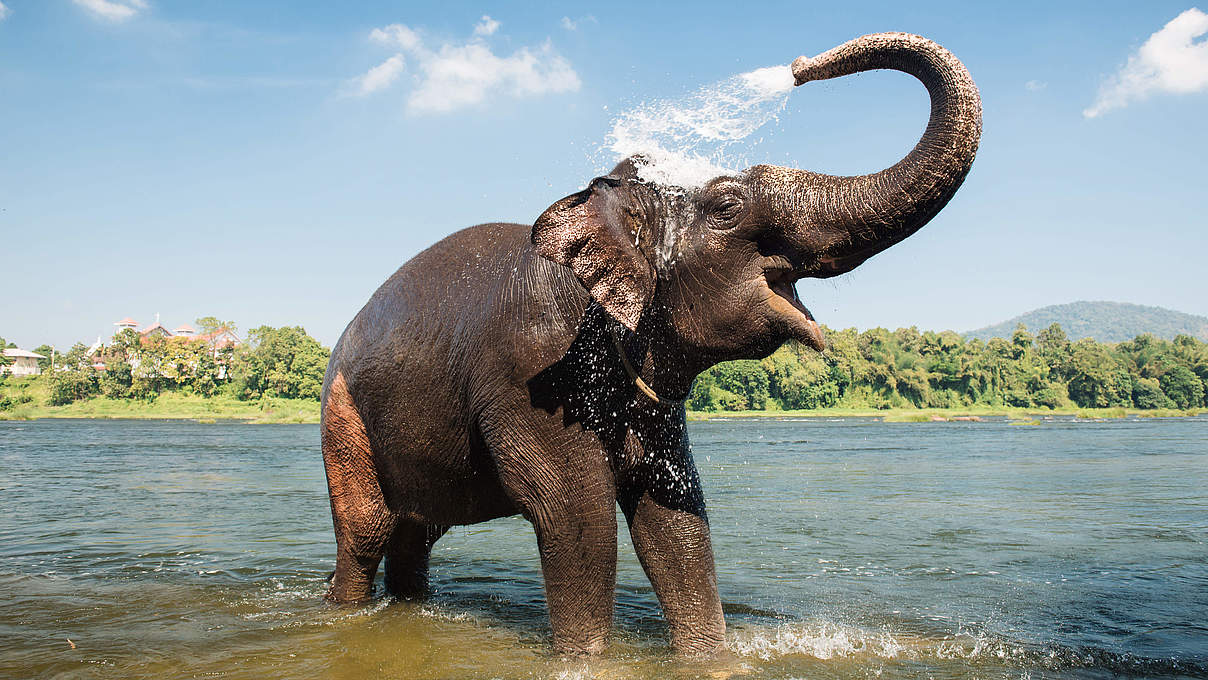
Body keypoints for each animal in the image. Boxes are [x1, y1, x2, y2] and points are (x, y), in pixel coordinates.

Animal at [318, 33, 980, 661]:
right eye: (728, 207)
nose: (799, 66)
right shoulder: (531, 369)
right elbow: (576, 516)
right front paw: (585, 658)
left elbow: (674, 517)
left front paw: (709, 657)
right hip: (342, 415)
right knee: (367, 532)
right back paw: (344, 611)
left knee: (417, 532)